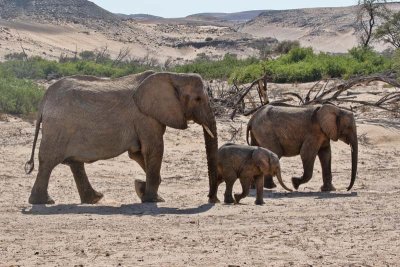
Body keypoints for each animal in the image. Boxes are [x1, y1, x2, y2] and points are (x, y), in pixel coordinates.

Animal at [25, 71, 219, 205]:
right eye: (198, 99)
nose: (212, 199)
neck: (173, 75)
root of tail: (44, 99)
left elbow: (138, 153)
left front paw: (142, 189)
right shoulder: (145, 117)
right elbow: (154, 149)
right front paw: (152, 199)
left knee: (74, 163)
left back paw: (94, 199)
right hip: (58, 128)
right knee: (48, 161)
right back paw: (44, 201)